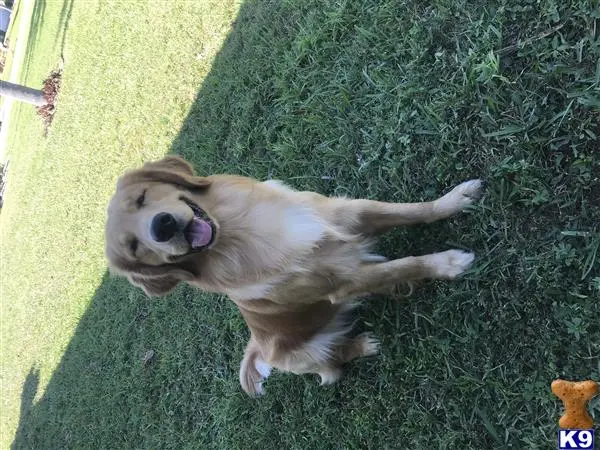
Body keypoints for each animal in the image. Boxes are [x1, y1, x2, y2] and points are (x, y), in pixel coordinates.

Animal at [105, 156, 482, 396]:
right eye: (135, 248)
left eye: (142, 198)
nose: (162, 226)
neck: (242, 233)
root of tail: (257, 347)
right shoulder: (345, 281)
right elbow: (406, 265)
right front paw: (449, 263)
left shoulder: (347, 213)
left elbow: (411, 211)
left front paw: (454, 199)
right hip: (304, 355)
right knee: (331, 370)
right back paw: (361, 345)